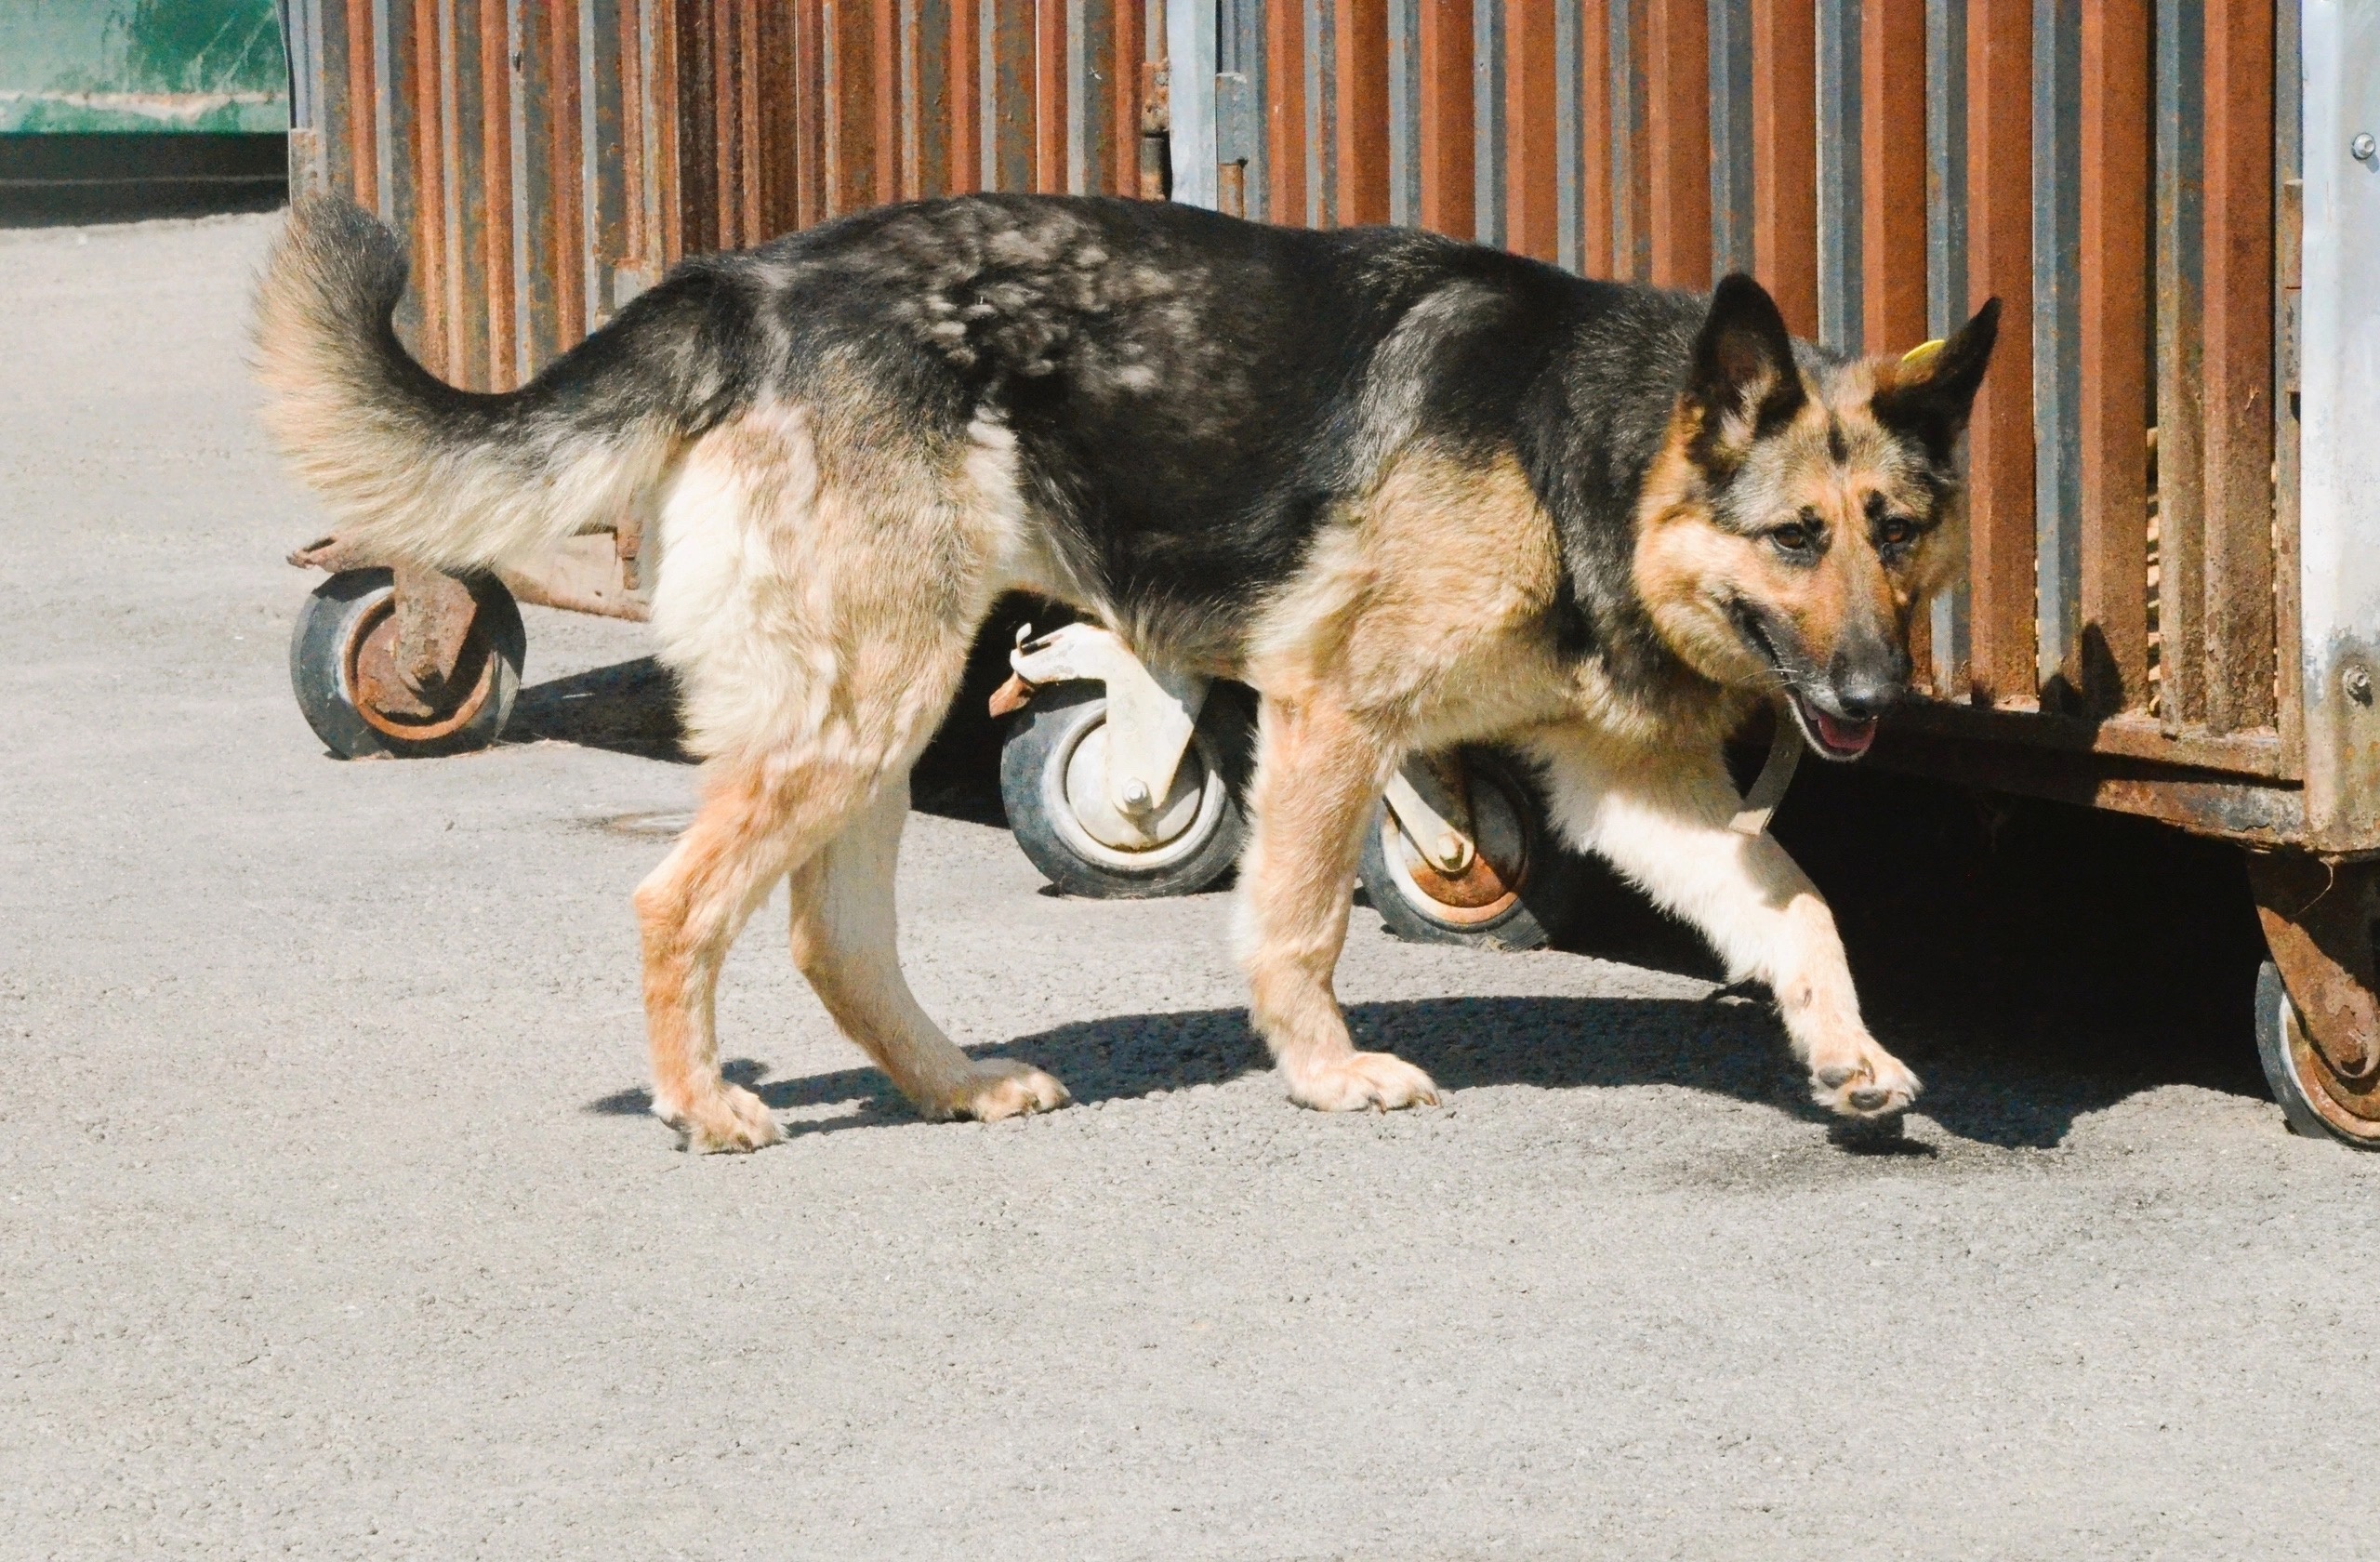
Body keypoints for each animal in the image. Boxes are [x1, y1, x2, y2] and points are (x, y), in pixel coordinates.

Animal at [256, 192, 1990, 1147]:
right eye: (1793, 539)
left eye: (1898, 536)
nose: (1870, 705)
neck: (1585, 444)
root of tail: (744, 284)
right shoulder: (1332, 717)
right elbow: (1298, 926)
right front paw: (1327, 1074)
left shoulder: (1640, 795)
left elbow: (1801, 911)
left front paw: (1851, 1062)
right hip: (860, 704)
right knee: (676, 904)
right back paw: (705, 1105)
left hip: (879, 712)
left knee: (832, 939)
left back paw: (952, 1086)